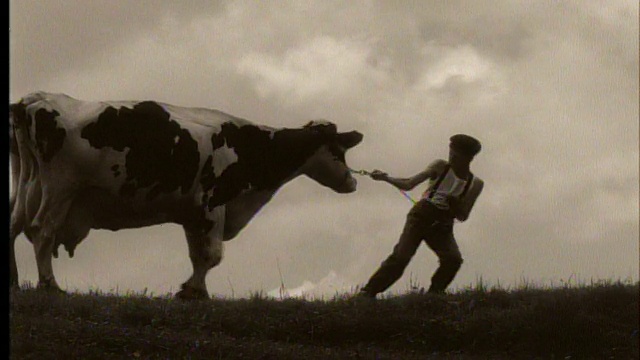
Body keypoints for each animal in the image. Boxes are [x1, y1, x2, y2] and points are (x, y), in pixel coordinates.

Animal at [10, 91, 362, 300]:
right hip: (61, 187)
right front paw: (194, 291)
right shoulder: (213, 204)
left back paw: (14, 282)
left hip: (26, 185)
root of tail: (36, 99)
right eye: (339, 149)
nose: (352, 182)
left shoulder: (193, 213)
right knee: (42, 230)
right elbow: (211, 254)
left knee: (13, 227)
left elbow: (197, 254)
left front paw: (194, 290)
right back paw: (50, 285)